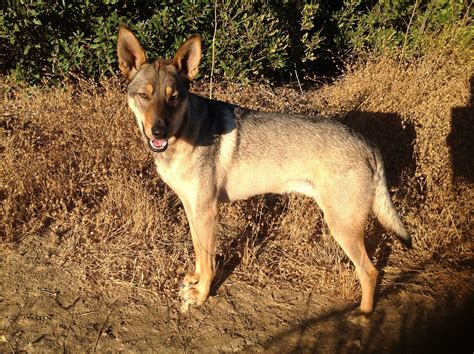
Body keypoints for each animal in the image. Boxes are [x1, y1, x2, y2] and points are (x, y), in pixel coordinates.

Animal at [116, 27, 410, 324]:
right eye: (144, 95)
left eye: (173, 97)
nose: (158, 132)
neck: (185, 131)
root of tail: (368, 144)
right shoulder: (193, 209)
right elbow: (200, 252)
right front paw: (196, 280)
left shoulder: (207, 212)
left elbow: (209, 261)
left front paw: (201, 295)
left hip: (342, 226)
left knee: (370, 271)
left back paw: (364, 314)